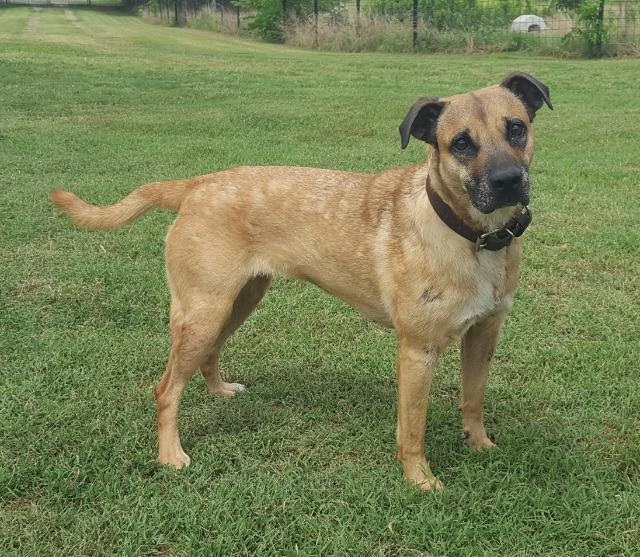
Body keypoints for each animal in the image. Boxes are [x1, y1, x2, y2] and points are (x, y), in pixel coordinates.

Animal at [50, 73, 552, 490]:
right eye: (461, 143)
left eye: (516, 128)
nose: (508, 180)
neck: (471, 238)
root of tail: (197, 184)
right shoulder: (416, 350)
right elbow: (412, 429)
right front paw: (420, 480)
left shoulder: (483, 335)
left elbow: (473, 400)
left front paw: (481, 446)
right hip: (204, 311)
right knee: (166, 389)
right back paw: (171, 454)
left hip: (237, 301)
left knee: (208, 356)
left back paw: (219, 391)